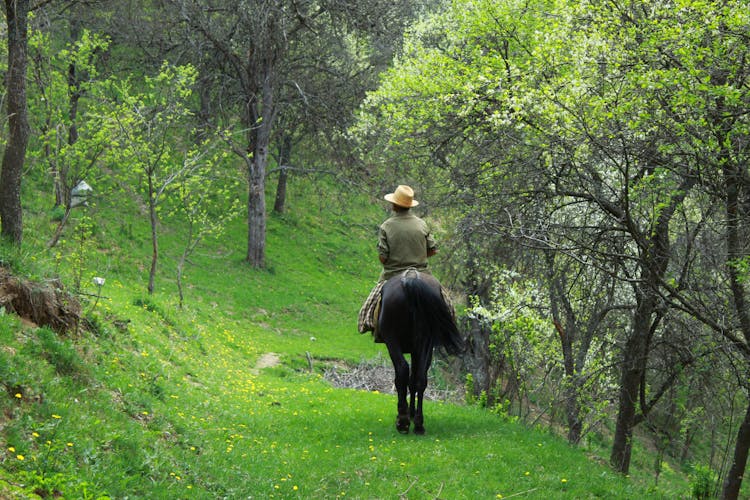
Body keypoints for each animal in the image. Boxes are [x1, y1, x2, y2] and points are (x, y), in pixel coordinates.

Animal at [382, 270, 464, 434]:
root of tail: (411, 280)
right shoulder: (418, 349)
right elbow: (414, 381)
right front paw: (413, 413)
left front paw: (407, 413)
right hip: (425, 341)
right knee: (420, 377)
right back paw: (418, 424)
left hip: (392, 340)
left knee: (402, 371)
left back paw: (403, 421)